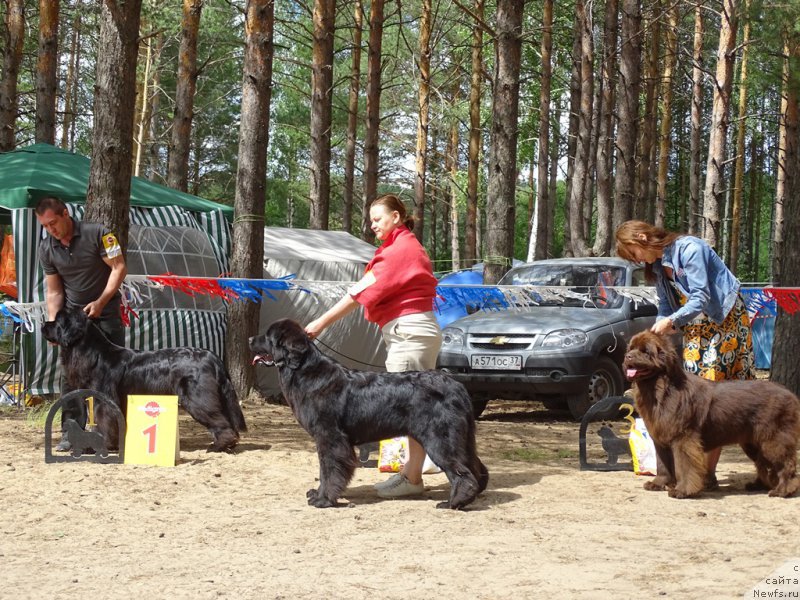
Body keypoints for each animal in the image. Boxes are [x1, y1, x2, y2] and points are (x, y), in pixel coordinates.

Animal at [41, 310, 244, 450]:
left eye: (58, 321)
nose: (44, 324)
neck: (95, 354)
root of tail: (212, 356)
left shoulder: (103, 402)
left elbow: (103, 422)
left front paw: (102, 445)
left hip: (197, 398)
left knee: (218, 420)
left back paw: (219, 445)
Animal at [248, 316, 488, 508]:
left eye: (268, 337)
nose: (250, 339)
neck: (304, 371)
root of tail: (456, 386)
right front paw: (317, 493)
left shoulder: (329, 437)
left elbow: (328, 470)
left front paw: (323, 499)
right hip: (460, 438)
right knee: (474, 464)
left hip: (440, 440)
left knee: (462, 472)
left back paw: (454, 502)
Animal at [624, 330, 800, 500]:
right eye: (630, 348)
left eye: (645, 351)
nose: (627, 356)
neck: (661, 390)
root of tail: (791, 395)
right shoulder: (660, 438)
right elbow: (662, 465)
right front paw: (658, 484)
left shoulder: (683, 438)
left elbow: (684, 466)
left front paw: (682, 491)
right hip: (753, 442)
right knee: (764, 463)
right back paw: (759, 485)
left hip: (774, 439)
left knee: (785, 464)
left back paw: (783, 491)